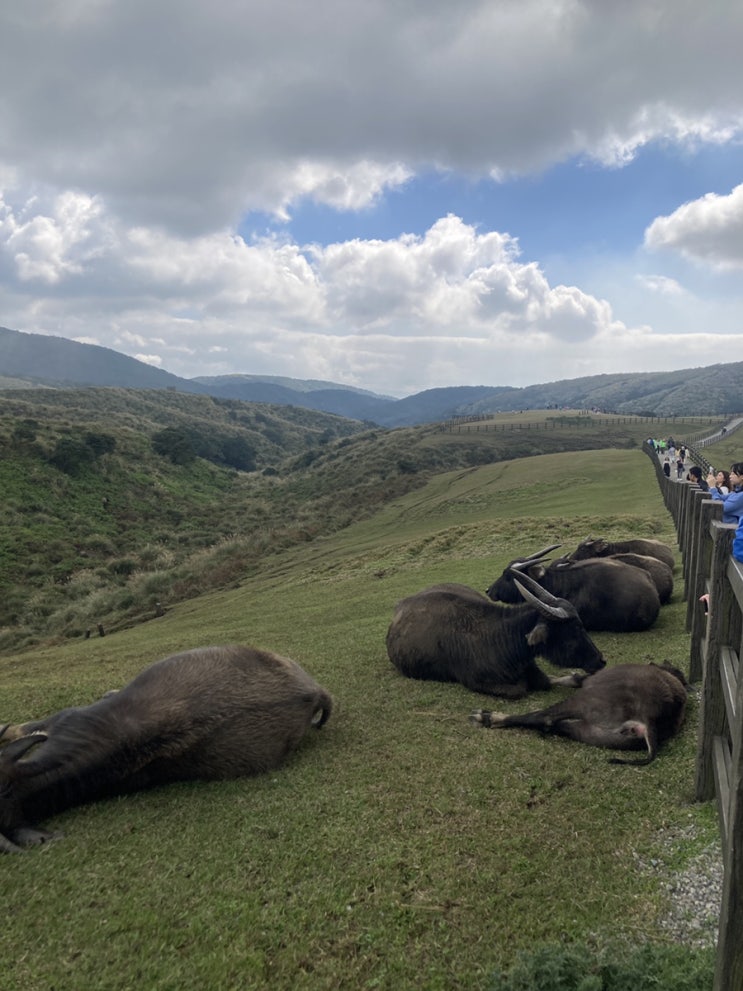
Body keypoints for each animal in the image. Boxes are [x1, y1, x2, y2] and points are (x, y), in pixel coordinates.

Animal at [386, 568, 608, 700]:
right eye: (575, 629)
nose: (601, 660)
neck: (500, 638)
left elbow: (550, 680)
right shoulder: (477, 682)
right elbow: (521, 689)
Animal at [474, 668, 688, 768]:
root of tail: (651, 721)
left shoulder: (588, 680)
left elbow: (572, 678)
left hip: (586, 701)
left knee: (545, 718)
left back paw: (491, 717)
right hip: (593, 733)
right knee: (556, 724)